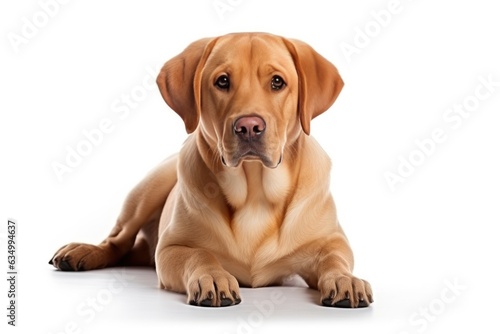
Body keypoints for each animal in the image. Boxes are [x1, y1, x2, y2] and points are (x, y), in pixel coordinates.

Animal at [49, 32, 372, 308]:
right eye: (223, 81)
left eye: (278, 82)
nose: (249, 127)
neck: (255, 192)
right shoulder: (170, 248)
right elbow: (200, 254)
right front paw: (213, 277)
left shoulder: (333, 241)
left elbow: (334, 259)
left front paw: (346, 280)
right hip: (147, 190)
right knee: (117, 241)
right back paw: (83, 251)